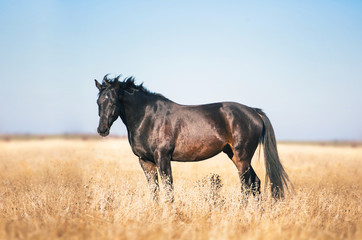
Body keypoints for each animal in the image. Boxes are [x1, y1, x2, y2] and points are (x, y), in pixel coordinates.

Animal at [94, 74, 292, 202]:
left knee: (246, 186)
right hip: (235, 156)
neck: (148, 117)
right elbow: (155, 191)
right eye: (98, 102)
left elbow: (168, 190)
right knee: (255, 184)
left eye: (113, 102)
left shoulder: (162, 158)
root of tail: (254, 112)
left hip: (242, 158)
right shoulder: (145, 161)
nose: (102, 129)